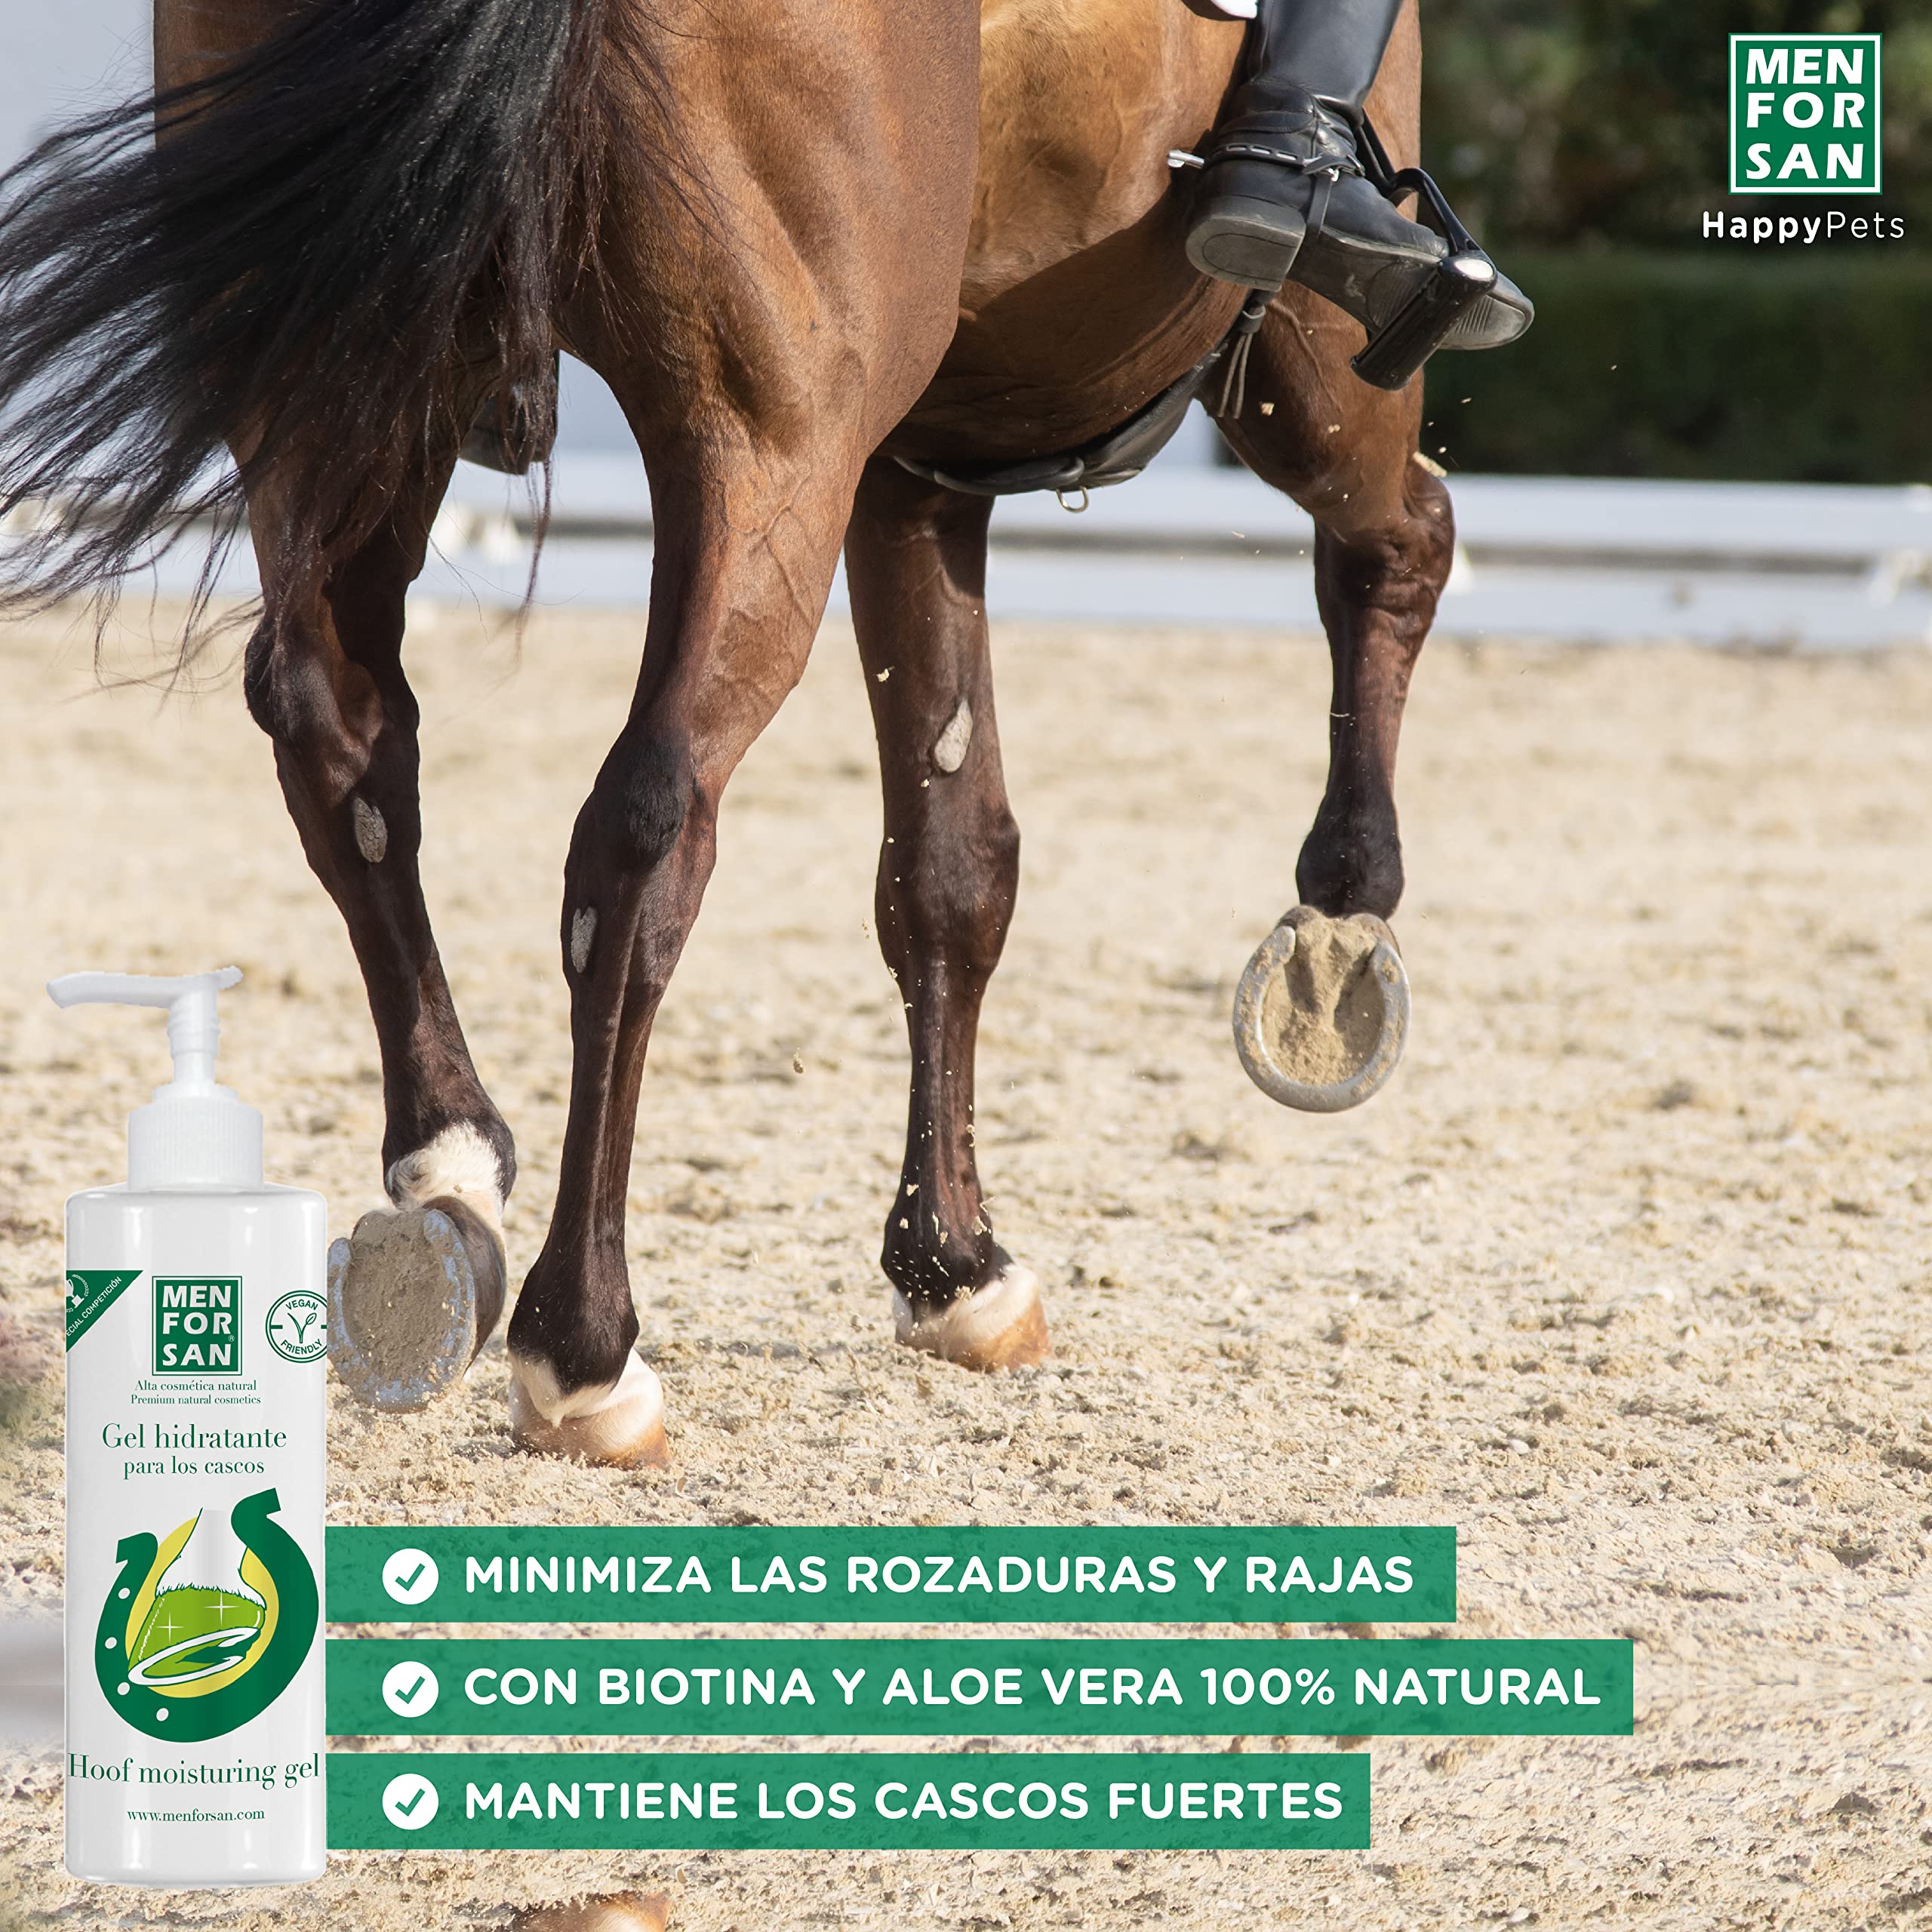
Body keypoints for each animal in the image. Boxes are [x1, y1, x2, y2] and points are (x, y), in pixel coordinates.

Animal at [0, 0, 1448, 1467]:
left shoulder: (919, 467)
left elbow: (951, 868)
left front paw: (953, 1264)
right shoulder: (1282, 356)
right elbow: (1403, 540)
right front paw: (1342, 912)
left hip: (349, 387)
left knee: (341, 741)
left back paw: (450, 1179)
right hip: (770, 440)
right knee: (642, 832)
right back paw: (583, 1344)